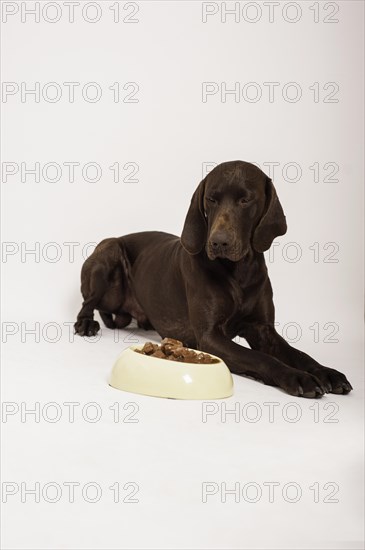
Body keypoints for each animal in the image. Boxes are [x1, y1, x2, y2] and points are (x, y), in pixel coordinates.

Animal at [74, 162, 352, 398]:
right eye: (211, 199)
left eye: (245, 200)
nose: (219, 242)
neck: (239, 272)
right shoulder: (209, 337)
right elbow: (260, 358)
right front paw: (297, 377)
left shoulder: (263, 329)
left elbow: (299, 354)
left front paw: (327, 372)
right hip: (108, 252)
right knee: (87, 303)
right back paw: (86, 324)